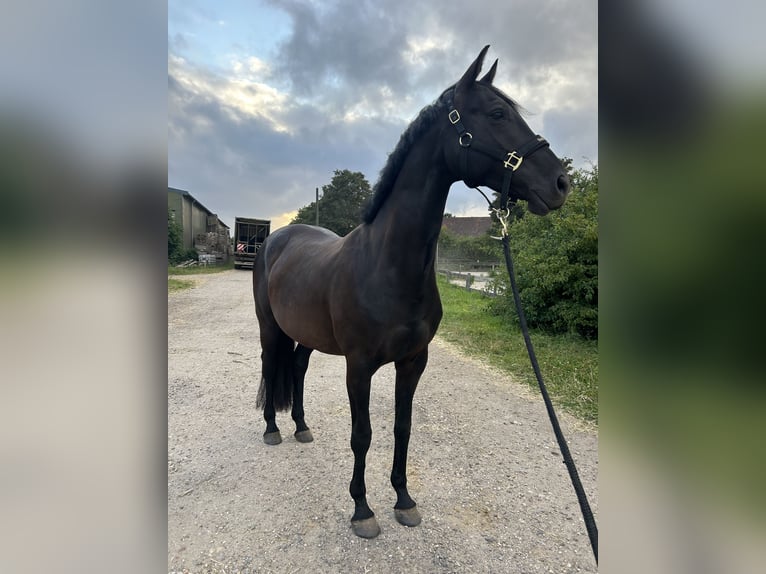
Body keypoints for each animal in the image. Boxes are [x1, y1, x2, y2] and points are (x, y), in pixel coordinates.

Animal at [254, 45, 568, 540]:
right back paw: (273, 429)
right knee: (271, 365)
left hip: (306, 333)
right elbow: (362, 434)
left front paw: (403, 499)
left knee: (298, 367)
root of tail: (277, 237)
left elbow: (403, 428)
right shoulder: (359, 366)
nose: (560, 182)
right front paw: (362, 509)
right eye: (497, 113)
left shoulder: (413, 361)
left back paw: (301, 426)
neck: (387, 266)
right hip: (270, 327)